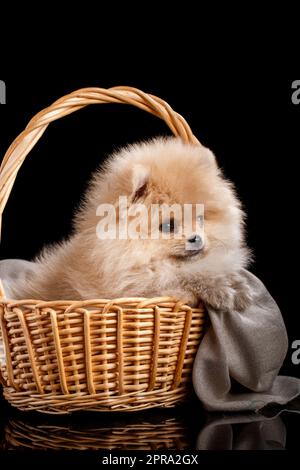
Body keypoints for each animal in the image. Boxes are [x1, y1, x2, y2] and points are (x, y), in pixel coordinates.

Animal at [0, 138, 251, 310]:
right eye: (168, 226)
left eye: (200, 219)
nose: (196, 238)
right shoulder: (130, 291)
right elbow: (177, 283)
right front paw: (218, 290)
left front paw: (233, 284)